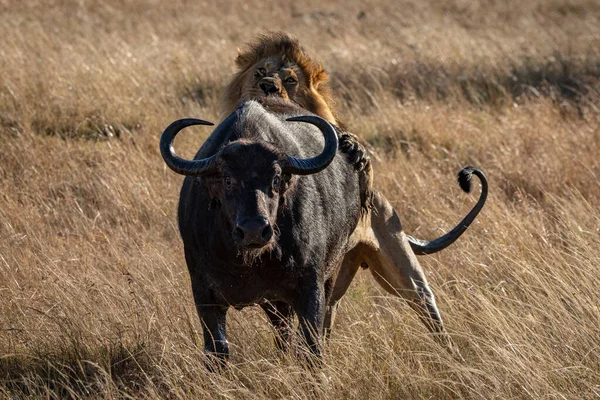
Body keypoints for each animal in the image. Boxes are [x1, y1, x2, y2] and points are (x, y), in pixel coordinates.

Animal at [220, 32, 488, 354]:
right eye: (260, 72)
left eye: (290, 80)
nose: (268, 87)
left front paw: (353, 149)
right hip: (335, 284)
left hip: (404, 272)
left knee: (427, 307)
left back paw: (452, 355)